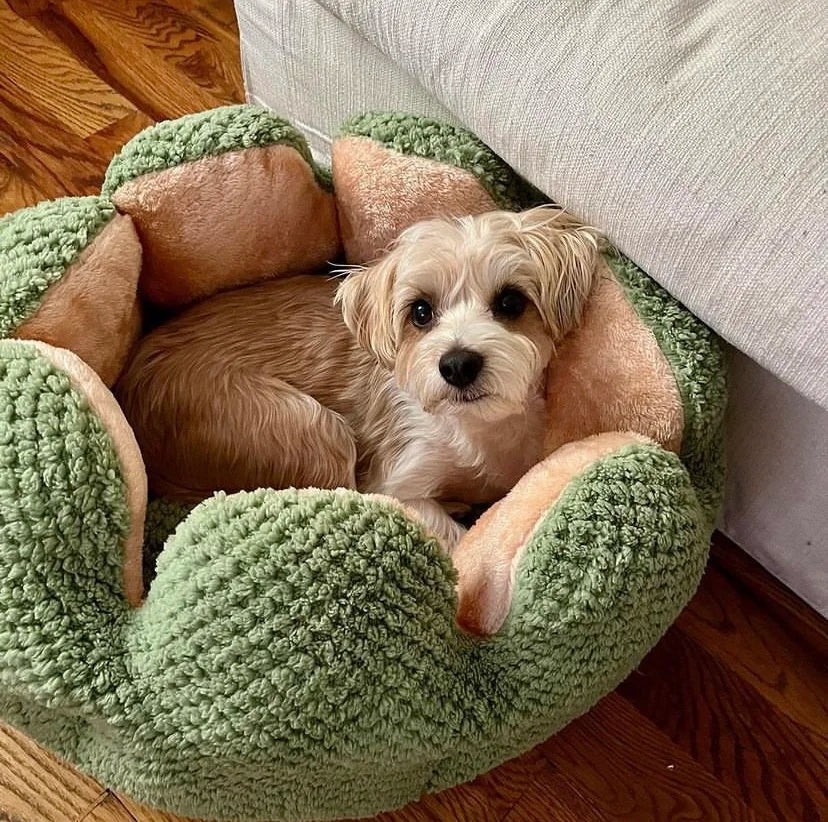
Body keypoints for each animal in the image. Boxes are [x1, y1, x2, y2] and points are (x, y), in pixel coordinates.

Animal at [116, 209, 600, 552]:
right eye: (420, 312)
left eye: (511, 302)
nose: (458, 364)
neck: (478, 429)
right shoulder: (396, 483)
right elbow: (452, 539)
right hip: (312, 431)